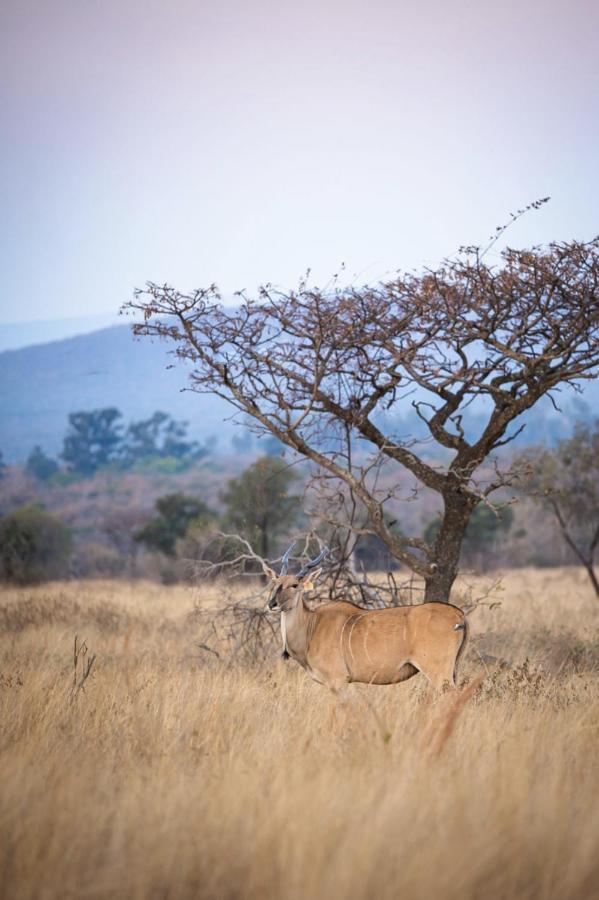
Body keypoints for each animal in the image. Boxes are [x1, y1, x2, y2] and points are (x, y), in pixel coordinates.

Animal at [264, 540, 468, 696]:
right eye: (275, 583)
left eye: (294, 585)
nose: (271, 603)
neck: (311, 626)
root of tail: (459, 615)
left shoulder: (338, 681)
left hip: (439, 671)